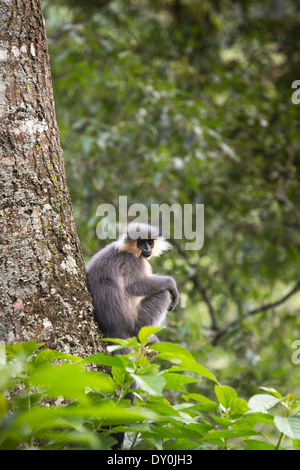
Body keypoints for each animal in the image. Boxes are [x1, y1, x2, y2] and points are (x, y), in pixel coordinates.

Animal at [85, 222, 178, 350]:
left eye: (150, 242)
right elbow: (134, 286)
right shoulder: (134, 261)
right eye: (141, 243)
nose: (147, 248)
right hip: (137, 324)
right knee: (164, 293)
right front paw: (171, 283)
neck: (128, 250)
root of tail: (115, 331)